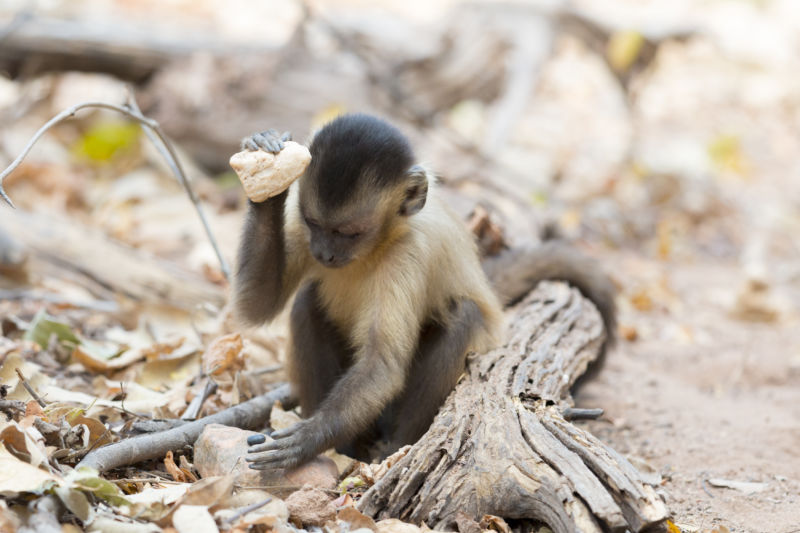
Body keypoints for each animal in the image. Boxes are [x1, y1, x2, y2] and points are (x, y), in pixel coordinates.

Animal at [234, 114, 615, 470]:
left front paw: (307, 439)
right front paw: (267, 170)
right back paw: (346, 449)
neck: (380, 243)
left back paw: (394, 446)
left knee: (463, 314)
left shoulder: (408, 254)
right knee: (307, 302)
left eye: (350, 233)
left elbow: (382, 366)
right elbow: (257, 305)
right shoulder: (302, 231)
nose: (323, 254)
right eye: (315, 224)